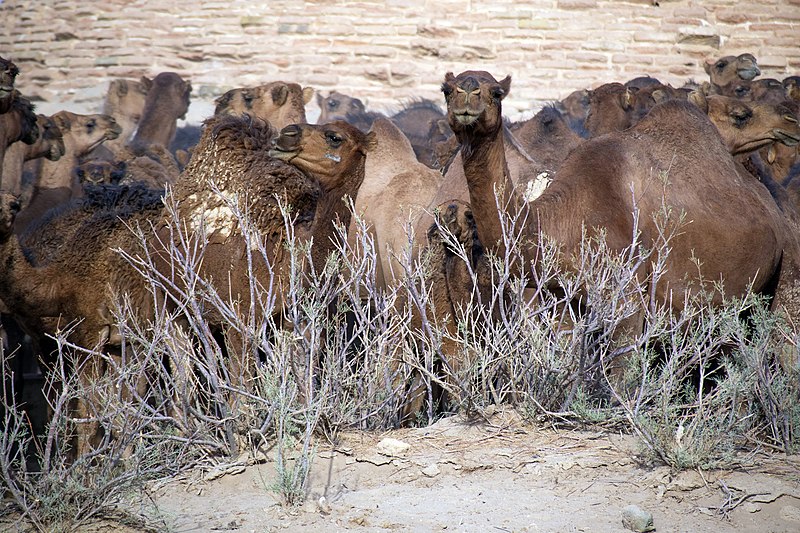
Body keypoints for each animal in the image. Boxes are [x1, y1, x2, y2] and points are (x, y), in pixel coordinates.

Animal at [440, 68, 800, 380]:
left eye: (497, 92)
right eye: (446, 89)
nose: (467, 94)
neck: (564, 216)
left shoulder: (627, 298)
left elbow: (620, 379)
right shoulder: (563, 302)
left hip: (777, 277)